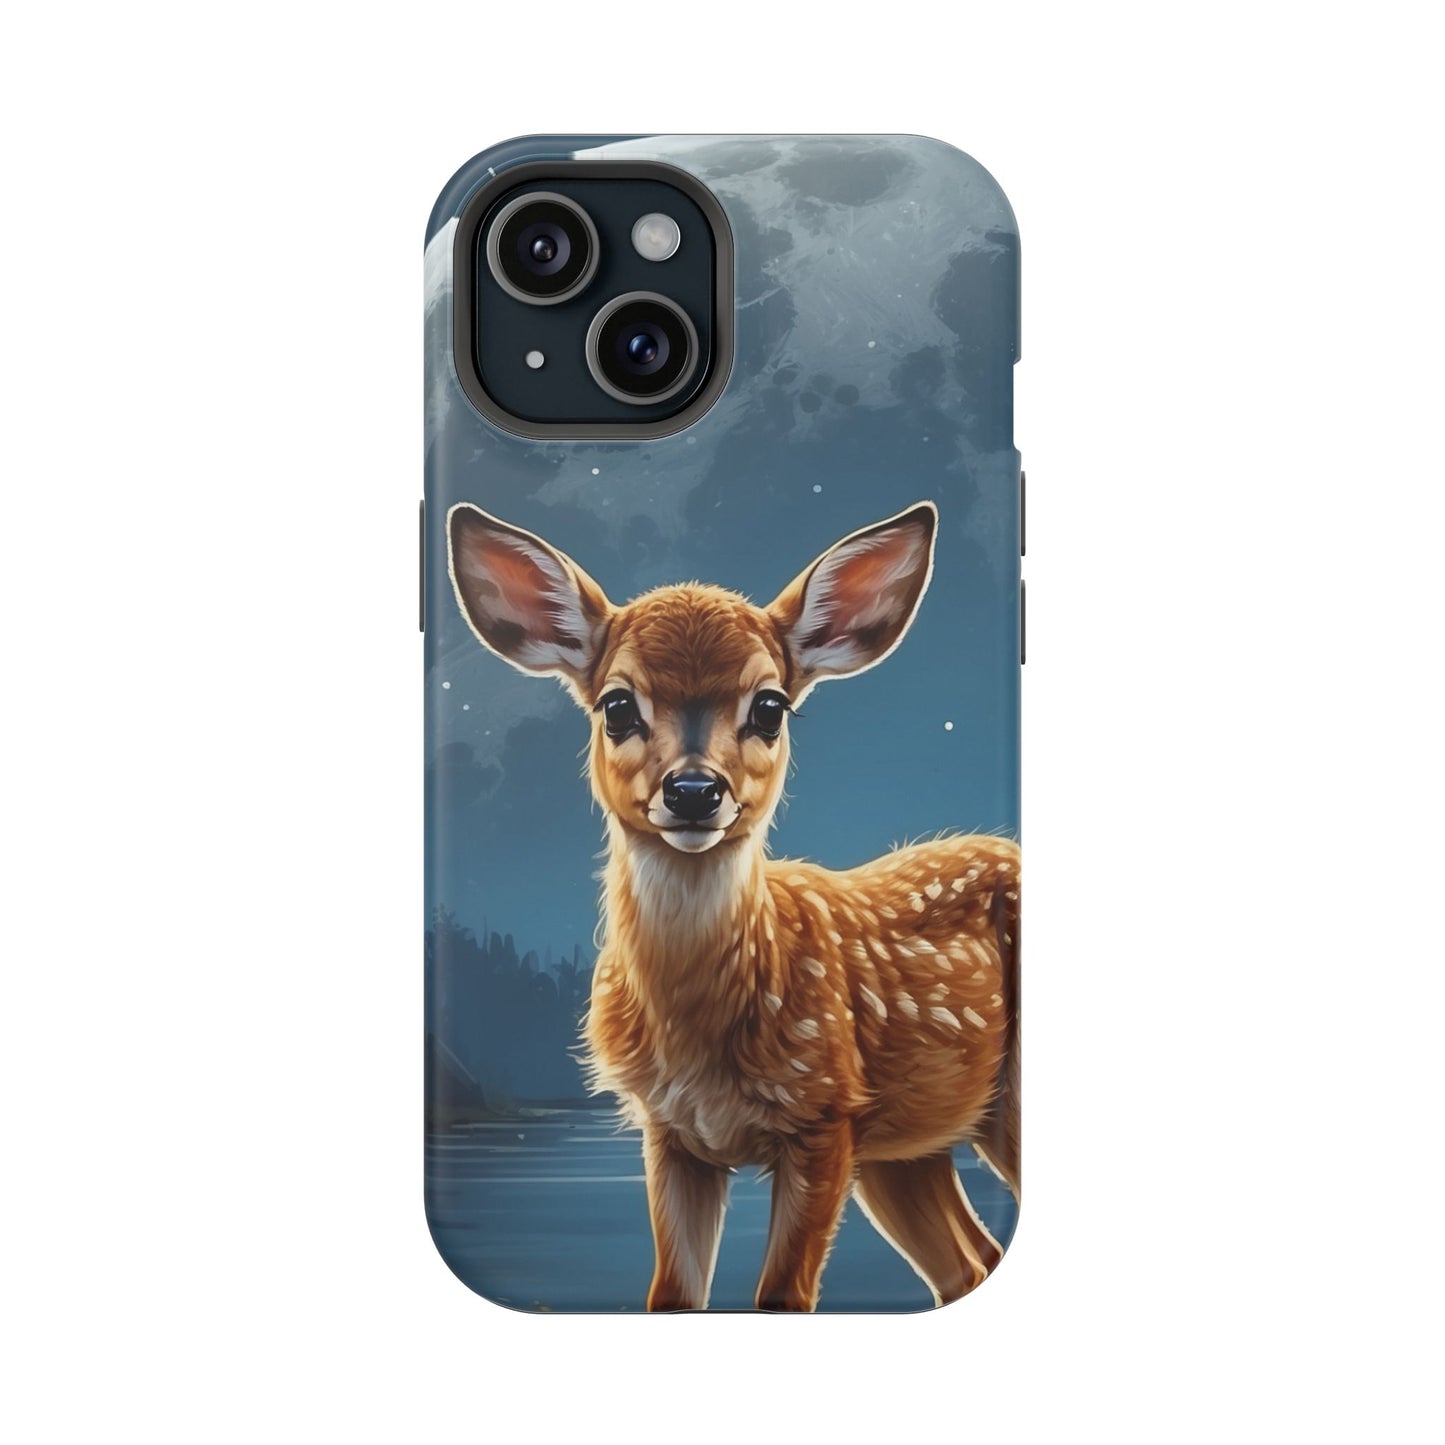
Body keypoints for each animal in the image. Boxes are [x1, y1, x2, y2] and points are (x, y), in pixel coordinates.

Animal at [447, 498, 1019, 1312]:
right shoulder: (670, 1133)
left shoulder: (823, 1114)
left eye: (770, 706)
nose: (693, 790)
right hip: (905, 1147)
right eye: (616, 705)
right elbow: (672, 1293)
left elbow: (781, 1295)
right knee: (970, 1265)